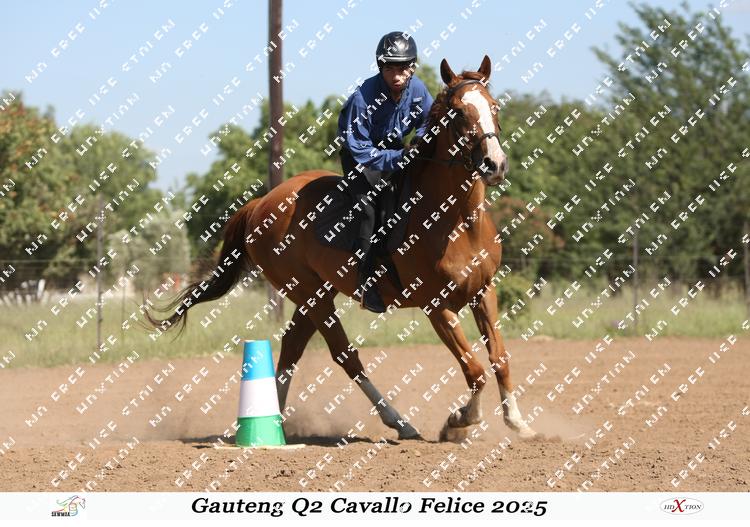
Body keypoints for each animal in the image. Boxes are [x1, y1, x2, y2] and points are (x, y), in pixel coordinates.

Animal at [148, 55, 538, 441]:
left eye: (494, 107)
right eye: (457, 112)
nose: (494, 164)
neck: (457, 221)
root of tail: (261, 203)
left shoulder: (484, 292)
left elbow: (500, 360)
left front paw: (518, 422)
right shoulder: (436, 307)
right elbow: (475, 369)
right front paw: (458, 422)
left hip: (315, 294)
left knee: (292, 347)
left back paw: (274, 423)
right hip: (312, 297)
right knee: (345, 355)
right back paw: (399, 422)